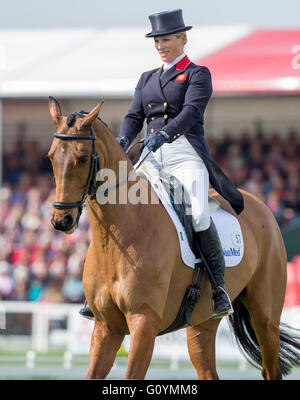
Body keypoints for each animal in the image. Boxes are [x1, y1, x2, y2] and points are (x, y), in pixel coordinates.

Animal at [48, 97, 298, 382]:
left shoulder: (144, 321)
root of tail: (259, 205)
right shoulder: (106, 326)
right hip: (203, 323)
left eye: (81, 158)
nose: (61, 220)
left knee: (270, 367)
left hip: (265, 318)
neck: (121, 234)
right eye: (51, 157)